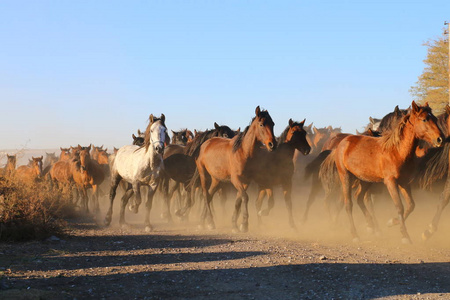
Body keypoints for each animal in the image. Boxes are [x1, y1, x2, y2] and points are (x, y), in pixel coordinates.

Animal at [324, 101, 442, 244]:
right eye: (424, 119)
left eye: (434, 118)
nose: (440, 139)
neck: (396, 151)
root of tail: (340, 145)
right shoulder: (390, 182)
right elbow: (399, 207)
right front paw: (405, 236)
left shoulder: (404, 182)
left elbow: (411, 205)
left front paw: (392, 222)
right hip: (346, 177)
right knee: (348, 204)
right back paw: (355, 235)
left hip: (365, 181)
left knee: (359, 198)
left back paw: (371, 227)